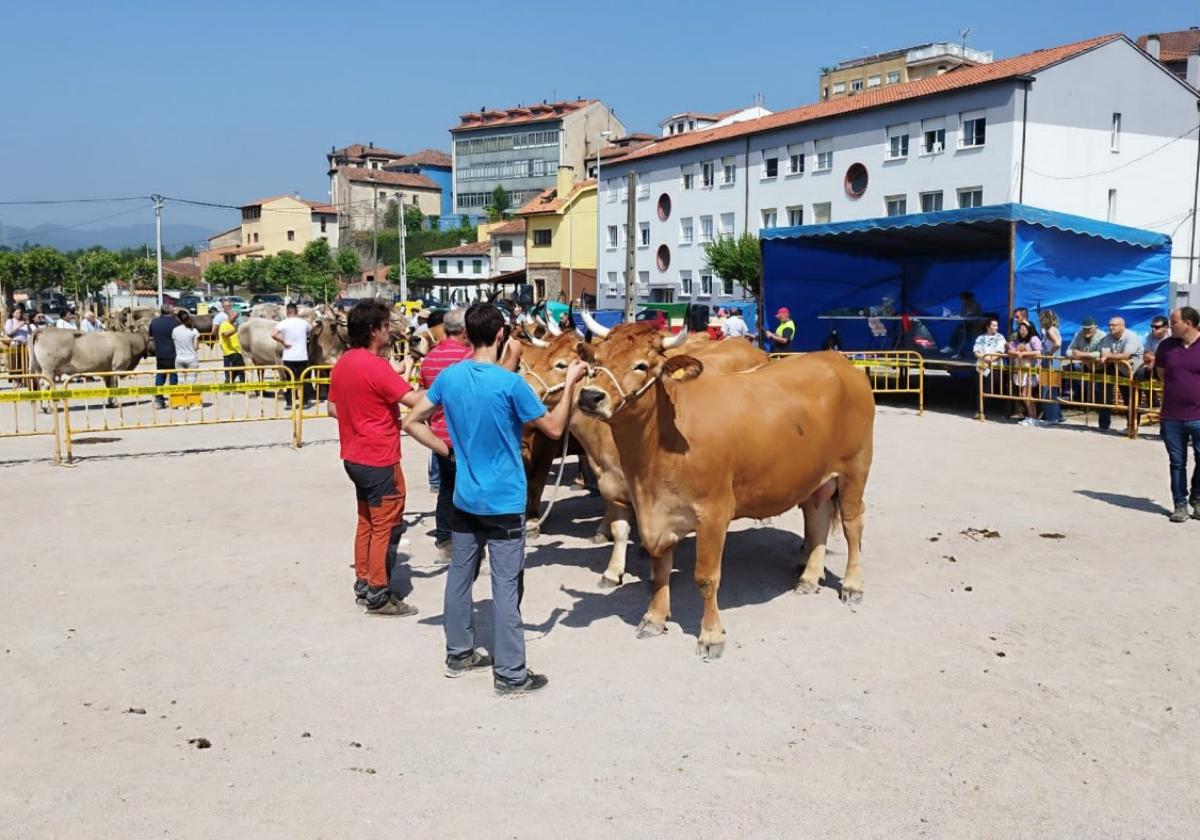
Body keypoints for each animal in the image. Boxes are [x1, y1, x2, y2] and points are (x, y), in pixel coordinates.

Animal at [573, 321, 873, 657]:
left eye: (641, 365)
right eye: (597, 360)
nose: (590, 396)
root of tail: (837, 360)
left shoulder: (714, 513)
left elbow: (706, 578)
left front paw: (711, 635)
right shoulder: (653, 512)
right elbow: (660, 566)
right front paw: (654, 618)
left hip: (854, 469)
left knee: (852, 525)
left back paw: (852, 584)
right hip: (816, 478)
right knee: (818, 519)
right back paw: (808, 578)